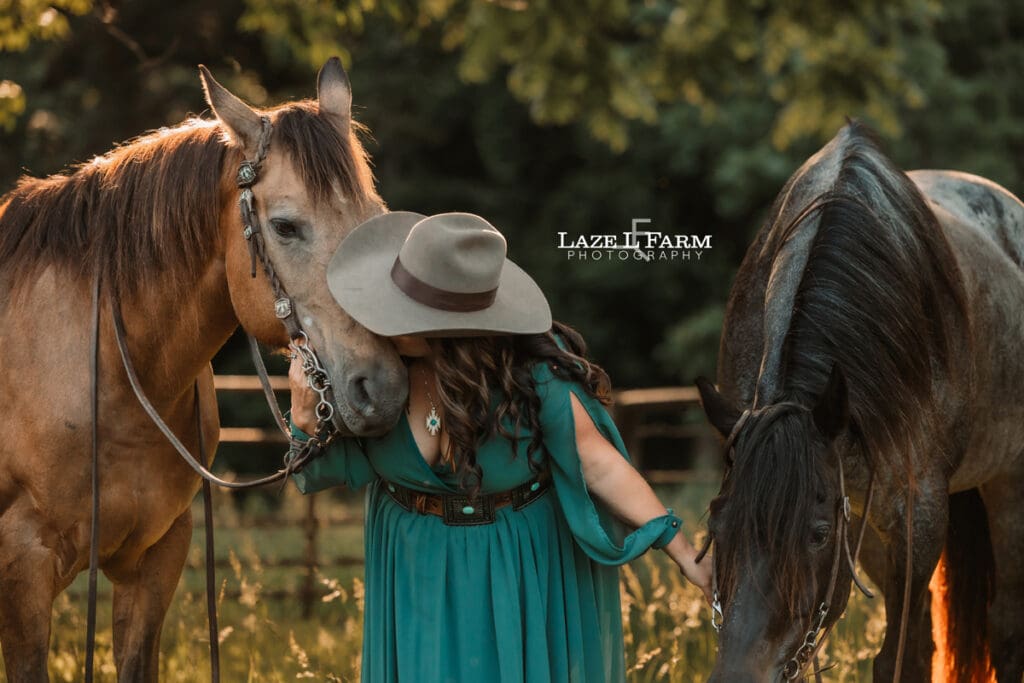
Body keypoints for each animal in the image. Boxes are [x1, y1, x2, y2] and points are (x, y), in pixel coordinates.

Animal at [0, 58, 406, 681]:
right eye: (285, 227)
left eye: (373, 218)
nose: (380, 388)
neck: (111, 376)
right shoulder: (24, 566)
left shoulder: (159, 556)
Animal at [695, 119, 1024, 682]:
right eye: (717, 524)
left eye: (818, 534)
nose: (739, 673)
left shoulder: (920, 516)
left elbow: (899, 658)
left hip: (1008, 484)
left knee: (1004, 626)